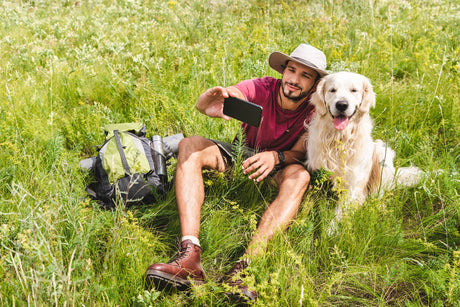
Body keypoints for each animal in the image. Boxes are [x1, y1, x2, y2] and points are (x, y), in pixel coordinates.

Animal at [306, 71, 424, 231]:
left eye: (354, 90)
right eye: (332, 90)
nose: (342, 105)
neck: (340, 139)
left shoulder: (354, 187)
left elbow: (338, 215)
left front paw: (329, 232)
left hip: (381, 152)